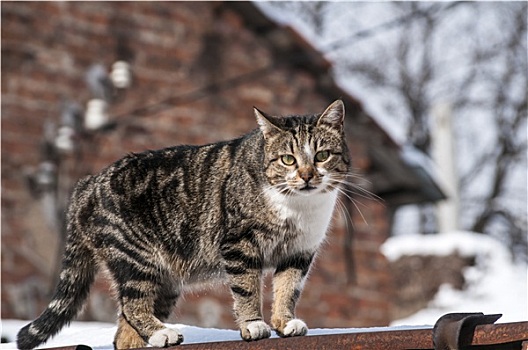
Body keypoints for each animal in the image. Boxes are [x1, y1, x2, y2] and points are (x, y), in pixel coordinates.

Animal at [17, 100, 350, 348]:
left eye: (322, 155)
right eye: (288, 159)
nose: (307, 176)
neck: (299, 209)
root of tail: (86, 184)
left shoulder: (299, 251)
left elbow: (288, 288)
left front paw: (285, 321)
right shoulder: (239, 243)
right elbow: (247, 289)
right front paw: (254, 324)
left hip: (164, 282)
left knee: (125, 332)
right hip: (137, 259)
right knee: (133, 307)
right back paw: (161, 332)